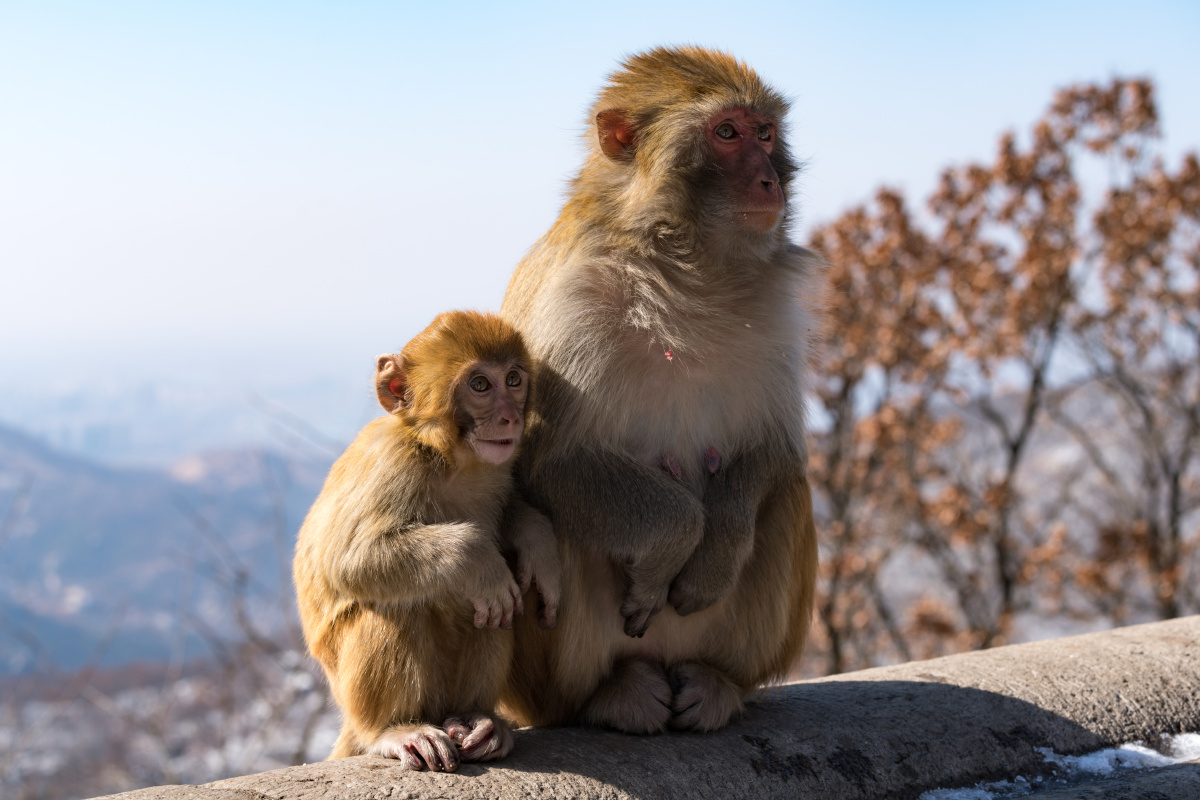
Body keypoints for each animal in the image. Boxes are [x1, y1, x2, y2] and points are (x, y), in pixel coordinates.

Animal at [292, 310, 561, 771]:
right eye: (480, 385)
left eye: (512, 379)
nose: (511, 417)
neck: (453, 459)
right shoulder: (392, 463)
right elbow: (347, 560)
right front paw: (476, 558)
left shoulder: (499, 470)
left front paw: (536, 540)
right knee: (400, 606)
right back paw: (394, 730)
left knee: (495, 607)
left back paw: (476, 721)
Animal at [499, 47, 820, 735]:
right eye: (725, 133)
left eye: (764, 134)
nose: (770, 183)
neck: (689, 270)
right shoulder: (574, 306)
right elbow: (546, 464)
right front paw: (676, 541)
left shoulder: (777, 313)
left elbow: (777, 451)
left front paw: (715, 553)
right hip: (549, 681)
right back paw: (609, 695)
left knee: (785, 493)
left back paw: (719, 683)